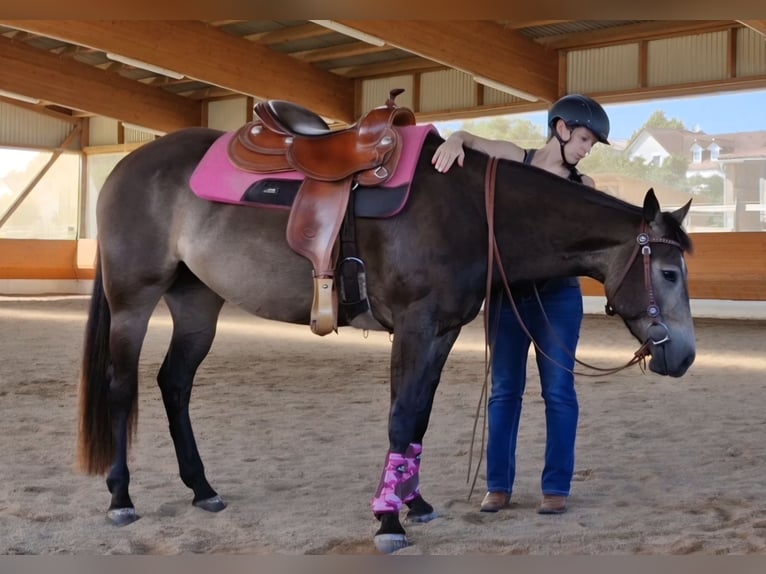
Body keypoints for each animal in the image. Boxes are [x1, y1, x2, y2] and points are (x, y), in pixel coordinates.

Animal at [77, 125, 695, 554]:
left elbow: (416, 419)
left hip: (196, 302)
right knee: (121, 387)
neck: (471, 210)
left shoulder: (441, 332)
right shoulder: (416, 328)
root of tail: (127, 166)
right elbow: (400, 419)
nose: (685, 355)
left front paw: (412, 502)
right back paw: (120, 498)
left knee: (174, 384)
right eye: (668, 272)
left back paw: (202, 489)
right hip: (133, 301)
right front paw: (388, 521)